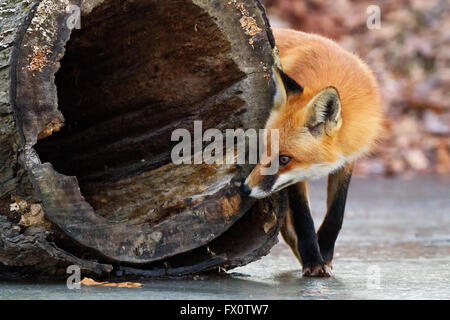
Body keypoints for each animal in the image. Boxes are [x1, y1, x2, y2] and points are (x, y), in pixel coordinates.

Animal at [243, 28, 384, 276]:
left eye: (284, 158)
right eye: (263, 150)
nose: (245, 189)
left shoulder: (347, 160)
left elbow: (337, 213)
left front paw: (324, 252)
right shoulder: (297, 178)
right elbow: (303, 218)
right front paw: (313, 259)